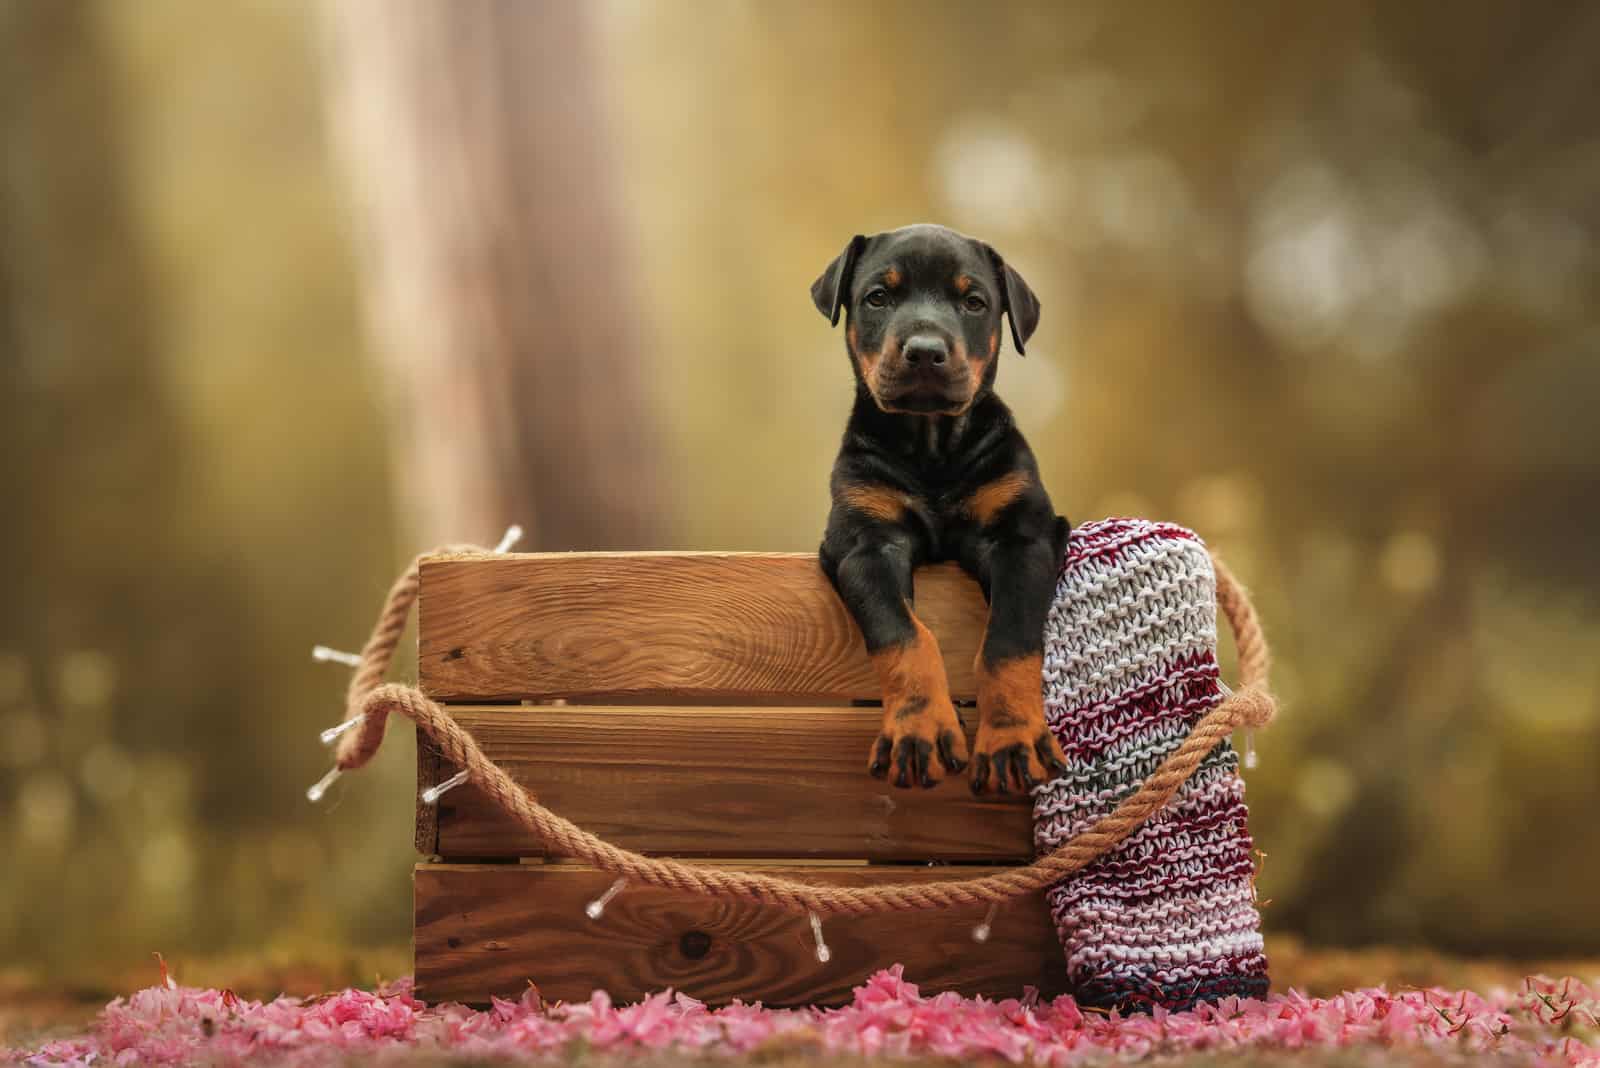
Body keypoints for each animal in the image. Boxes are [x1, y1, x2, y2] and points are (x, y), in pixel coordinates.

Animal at [819, 223, 1068, 793]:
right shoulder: (865, 544)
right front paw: (920, 731)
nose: (926, 351)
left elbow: (1009, 638)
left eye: (973, 302)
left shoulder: (1021, 538)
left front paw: (1011, 738)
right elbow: (903, 634)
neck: (931, 447)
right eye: (878, 297)